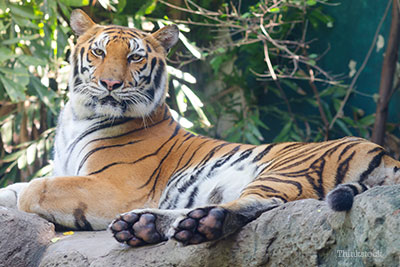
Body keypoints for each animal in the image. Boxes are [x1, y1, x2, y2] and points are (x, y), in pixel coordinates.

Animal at [0, 9, 400, 249]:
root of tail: (385, 153)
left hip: (288, 169)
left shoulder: (114, 187)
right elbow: (15, 188)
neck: (78, 115)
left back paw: (196, 224)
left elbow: (35, 189)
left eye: (135, 57)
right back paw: (144, 225)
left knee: (257, 205)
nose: (110, 84)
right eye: (98, 53)